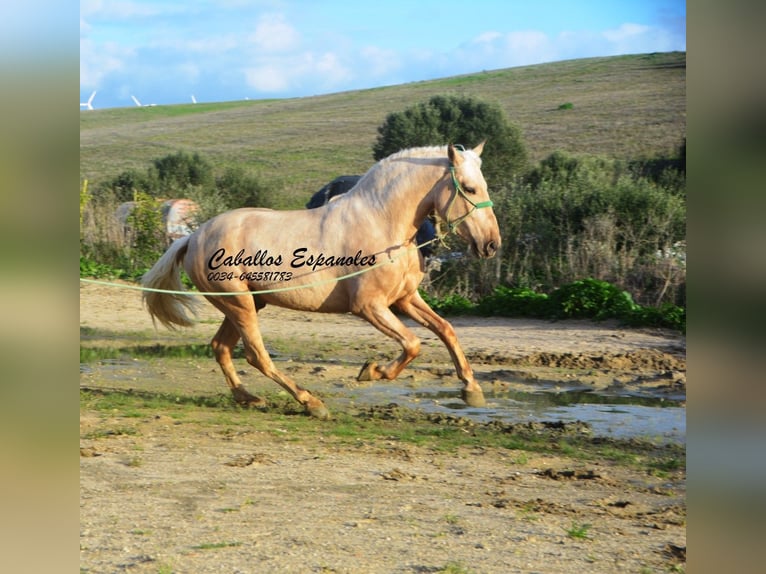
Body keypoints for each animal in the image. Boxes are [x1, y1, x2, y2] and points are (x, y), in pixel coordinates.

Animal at [142, 142, 500, 419]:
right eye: (469, 188)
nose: (491, 245)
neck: (381, 223)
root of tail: (193, 237)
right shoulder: (369, 307)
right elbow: (412, 344)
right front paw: (372, 371)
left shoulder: (404, 299)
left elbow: (446, 330)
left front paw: (472, 389)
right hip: (240, 305)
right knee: (256, 355)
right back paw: (311, 403)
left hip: (247, 304)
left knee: (221, 348)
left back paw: (249, 398)